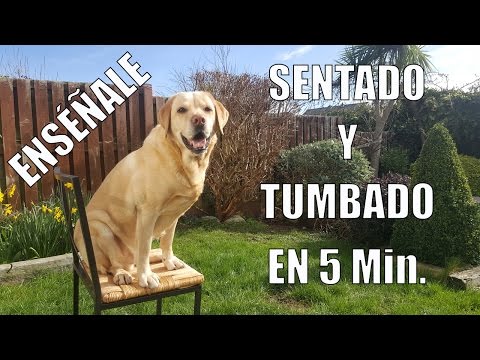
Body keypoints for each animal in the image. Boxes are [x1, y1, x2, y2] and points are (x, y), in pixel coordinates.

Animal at [73, 91, 229, 288]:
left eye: (207, 109)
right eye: (181, 110)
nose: (199, 120)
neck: (181, 159)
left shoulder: (174, 214)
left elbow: (167, 241)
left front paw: (169, 261)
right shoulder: (148, 212)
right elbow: (145, 248)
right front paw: (146, 276)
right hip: (100, 228)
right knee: (112, 265)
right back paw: (122, 274)